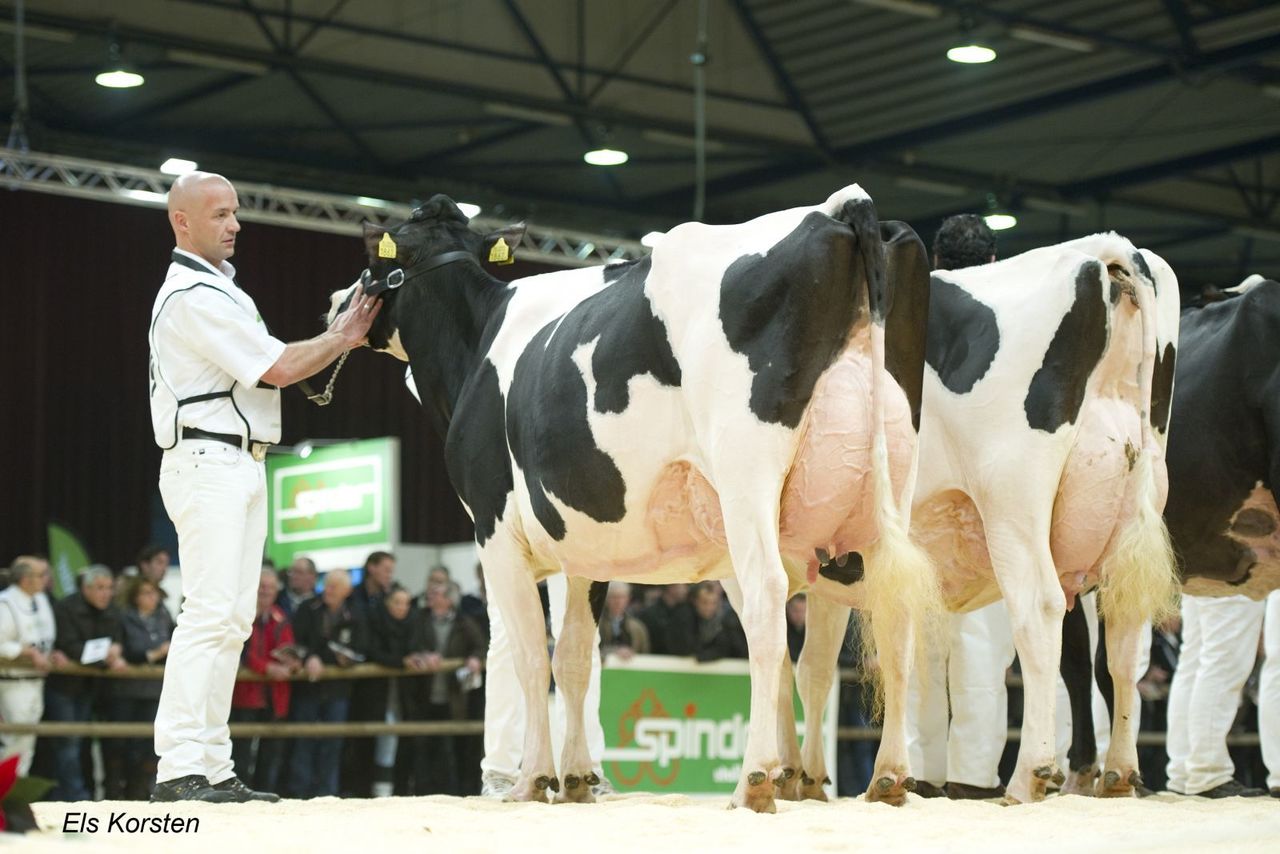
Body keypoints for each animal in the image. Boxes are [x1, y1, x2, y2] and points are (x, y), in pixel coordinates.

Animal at [327, 188, 938, 811]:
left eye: (374, 262)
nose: (334, 303)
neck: (476, 344)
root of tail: (842, 205)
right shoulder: (585, 548)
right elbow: (574, 657)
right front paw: (576, 779)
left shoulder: (494, 530)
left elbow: (531, 656)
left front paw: (533, 779)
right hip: (889, 482)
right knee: (886, 617)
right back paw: (882, 777)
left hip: (747, 473)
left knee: (768, 603)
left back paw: (755, 779)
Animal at [787, 233, 1183, 804]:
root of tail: (1101, 251)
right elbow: (815, 666)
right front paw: (811, 780)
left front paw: (786, 773)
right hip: (1131, 513)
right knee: (1124, 638)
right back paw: (1117, 773)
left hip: (1013, 501)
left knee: (1039, 610)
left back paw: (1029, 775)